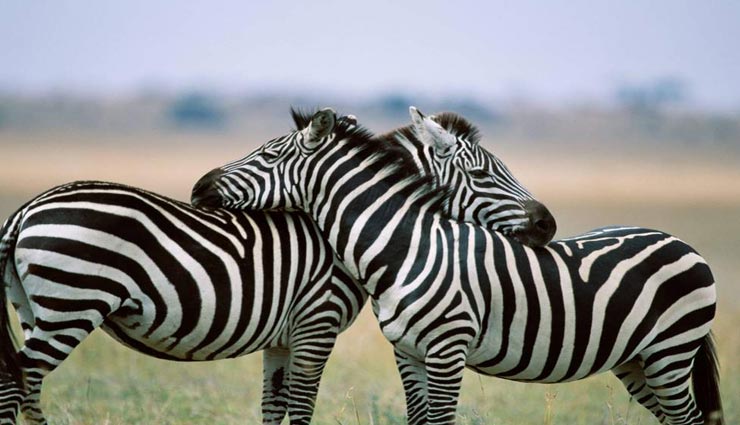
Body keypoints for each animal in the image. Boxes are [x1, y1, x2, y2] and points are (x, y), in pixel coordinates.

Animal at [0, 111, 553, 424]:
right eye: (483, 174)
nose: (547, 224)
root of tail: (26, 209)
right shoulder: (316, 323)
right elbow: (302, 407)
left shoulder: (281, 339)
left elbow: (275, 406)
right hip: (71, 304)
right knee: (17, 381)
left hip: (34, 309)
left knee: (24, 387)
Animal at [192, 107, 724, 425]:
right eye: (484, 172)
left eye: (268, 154)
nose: (198, 187)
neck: (407, 248)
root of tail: (677, 239)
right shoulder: (407, 353)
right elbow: (418, 419)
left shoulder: (448, 350)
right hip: (638, 362)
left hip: (671, 353)